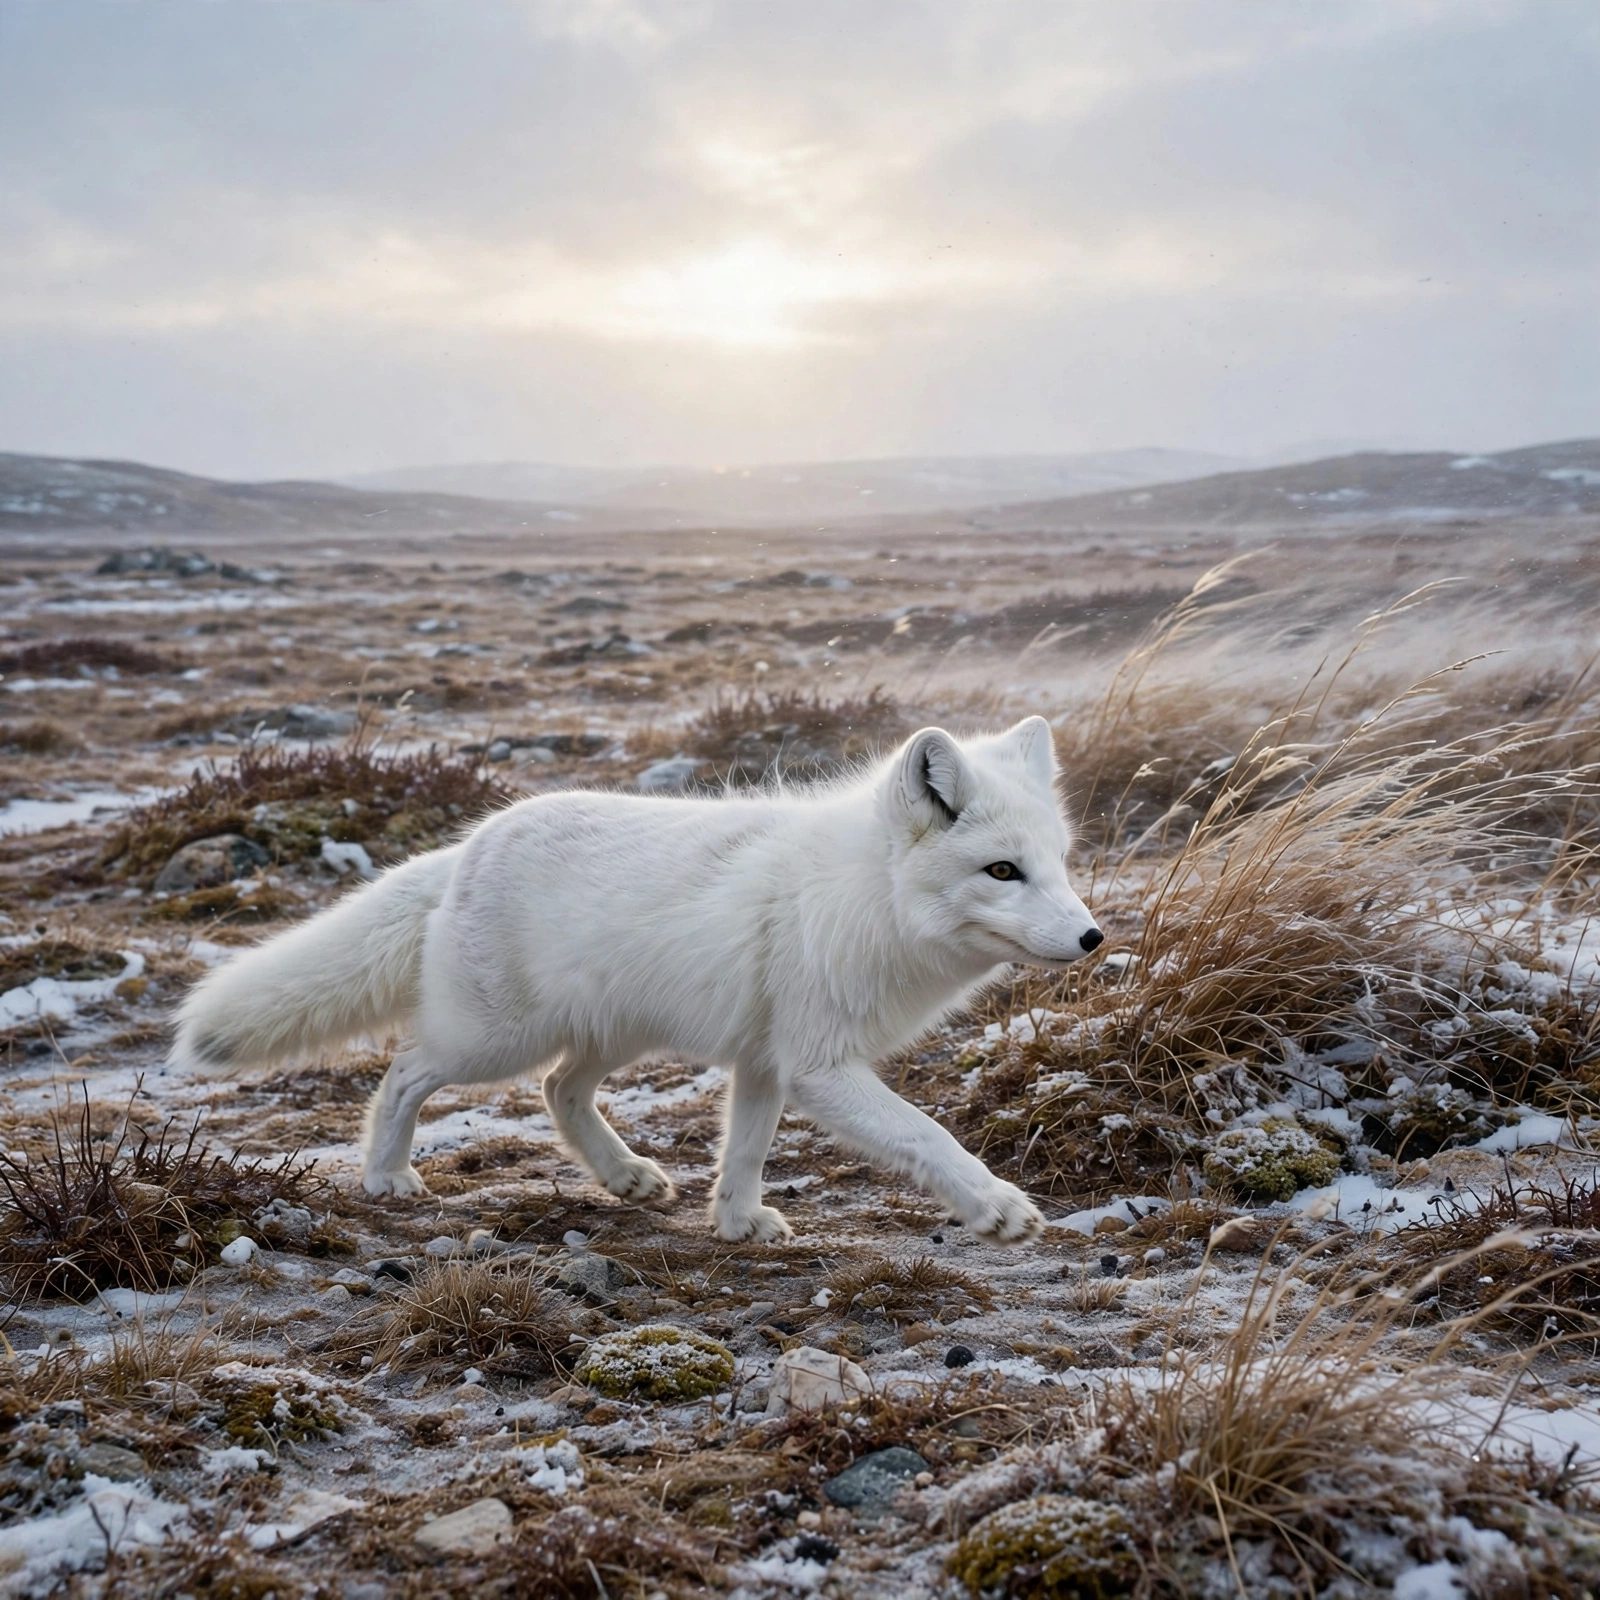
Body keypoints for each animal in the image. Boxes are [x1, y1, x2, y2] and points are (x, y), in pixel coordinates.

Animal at [172, 716, 1102, 1246]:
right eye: (1002, 870)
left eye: (1057, 863)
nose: (1093, 938)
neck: (866, 893)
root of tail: (472, 844)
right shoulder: (816, 1063)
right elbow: (927, 1135)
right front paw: (995, 1207)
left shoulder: (765, 1061)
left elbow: (746, 1148)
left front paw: (735, 1222)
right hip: (492, 1041)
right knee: (403, 1073)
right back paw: (386, 1175)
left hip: (612, 1034)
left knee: (558, 1092)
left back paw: (624, 1176)